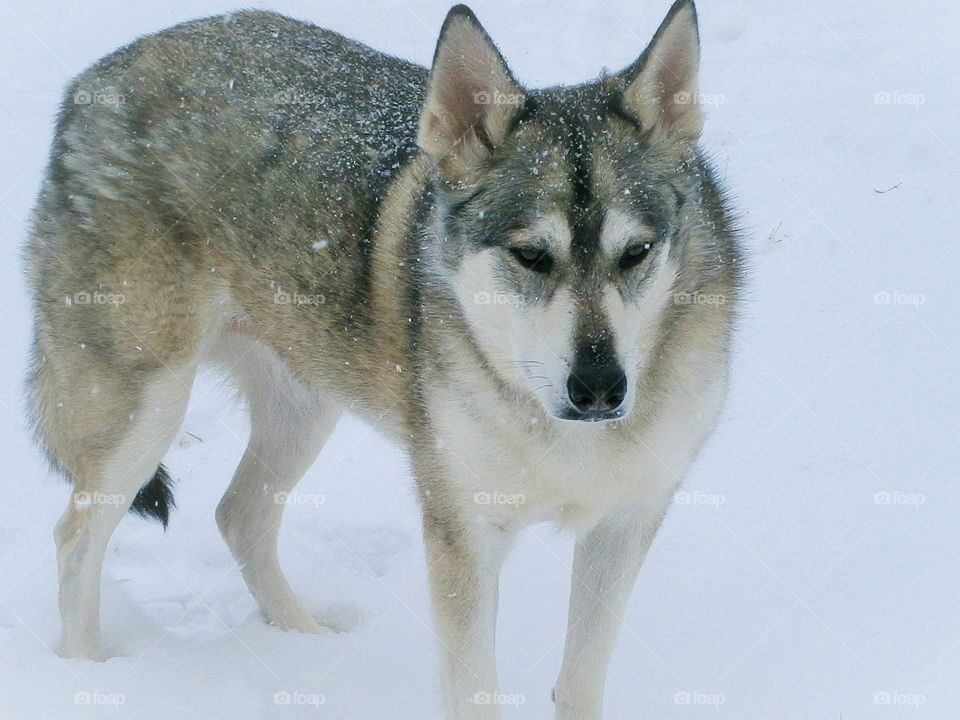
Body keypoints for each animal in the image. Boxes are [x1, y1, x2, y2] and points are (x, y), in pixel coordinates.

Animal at [24, 1, 744, 716]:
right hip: (147, 407)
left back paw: (302, 639)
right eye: (531, 256)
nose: (598, 388)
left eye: (636, 252)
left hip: (305, 402)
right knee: (75, 541)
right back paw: (90, 679)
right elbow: (476, 690)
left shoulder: (625, 521)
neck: (557, 429)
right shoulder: (462, 531)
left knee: (238, 514)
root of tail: (95, 78)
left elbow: (580, 681)